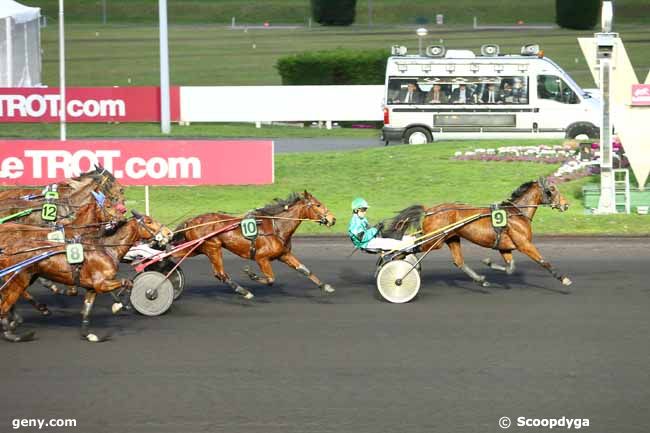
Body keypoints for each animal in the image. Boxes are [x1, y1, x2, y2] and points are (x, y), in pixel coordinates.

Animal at [0, 211, 172, 342]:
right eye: (149, 221)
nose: (168, 233)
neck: (105, 248)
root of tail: (9, 249)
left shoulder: (91, 288)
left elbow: (87, 311)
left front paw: (89, 335)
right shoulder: (101, 284)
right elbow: (128, 282)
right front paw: (119, 305)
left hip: (28, 277)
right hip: (19, 280)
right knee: (5, 306)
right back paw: (13, 332)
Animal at [172, 191, 334, 298]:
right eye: (318, 205)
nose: (333, 219)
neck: (277, 226)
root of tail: (191, 221)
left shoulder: (284, 254)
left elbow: (304, 270)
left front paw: (325, 286)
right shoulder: (261, 258)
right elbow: (270, 279)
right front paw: (251, 274)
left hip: (196, 248)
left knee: (174, 256)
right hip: (212, 247)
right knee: (220, 273)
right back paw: (244, 292)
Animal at [388, 178, 568, 286]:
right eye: (552, 189)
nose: (566, 205)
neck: (516, 213)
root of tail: (429, 210)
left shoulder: (505, 247)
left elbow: (510, 268)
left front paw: (488, 262)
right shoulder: (524, 244)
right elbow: (543, 261)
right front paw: (564, 279)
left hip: (451, 238)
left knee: (459, 262)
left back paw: (480, 279)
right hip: (434, 241)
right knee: (409, 249)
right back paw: (395, 266)